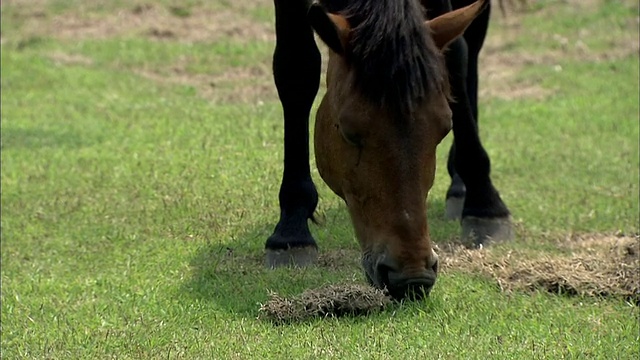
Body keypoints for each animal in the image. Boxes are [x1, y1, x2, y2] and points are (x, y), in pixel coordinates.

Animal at [264, 0, 510, 300]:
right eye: (349, 132)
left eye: (444, 128)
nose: (413, 276)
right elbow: (296, 68)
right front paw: (291, 229)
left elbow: (456, 57)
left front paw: (486, 203)